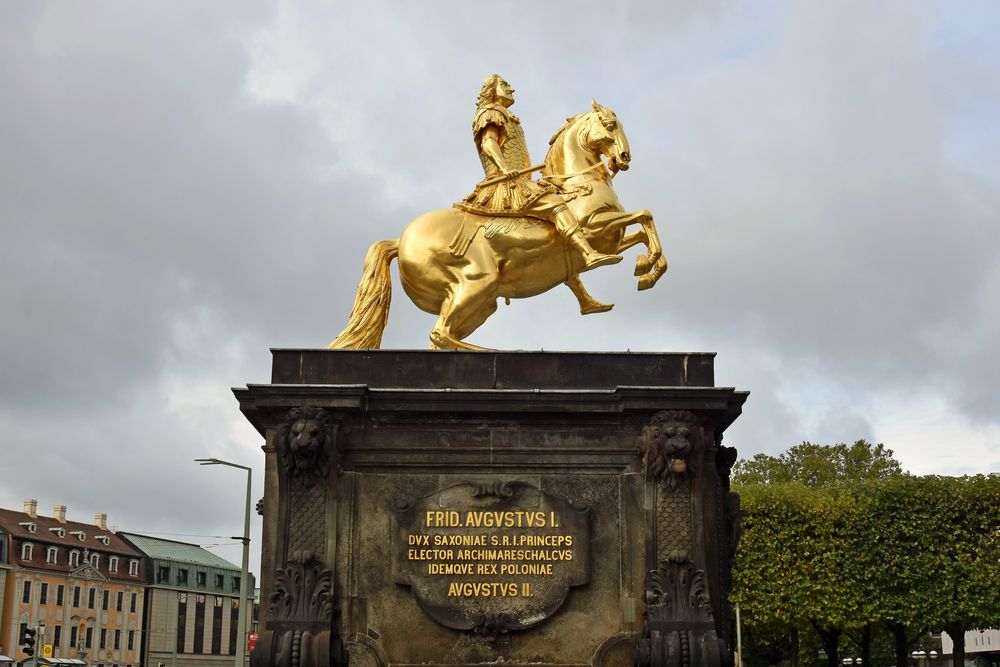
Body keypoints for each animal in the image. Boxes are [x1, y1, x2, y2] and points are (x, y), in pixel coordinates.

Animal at [332, 102, 668, 352]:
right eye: (610, 125)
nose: (624, 157)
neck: (578, 183)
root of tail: (400, 241)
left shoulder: (614, 237)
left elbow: (643, 229)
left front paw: (645, 269)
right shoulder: (595, 229)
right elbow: (645, 216)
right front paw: (643, 266)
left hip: (480, 304)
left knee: (440, 340)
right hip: (476, 284)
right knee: (439, 334)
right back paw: (500, 351)